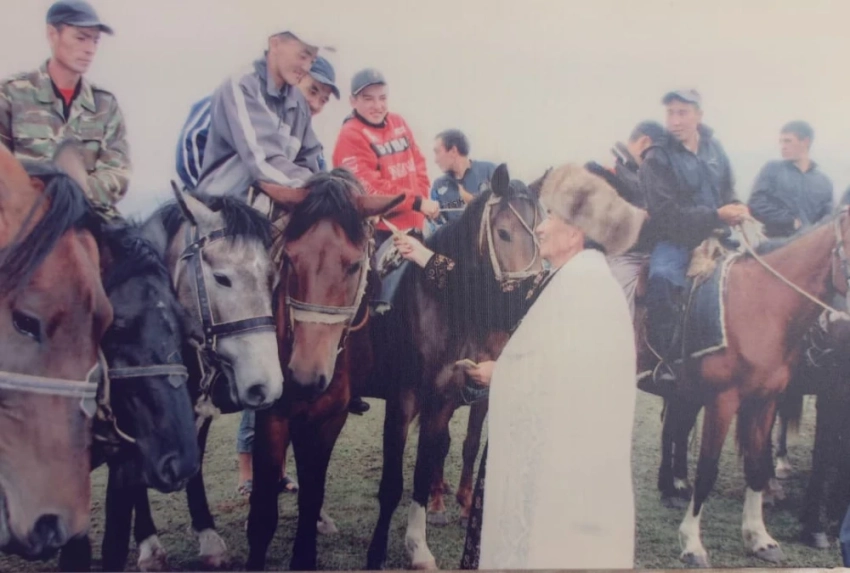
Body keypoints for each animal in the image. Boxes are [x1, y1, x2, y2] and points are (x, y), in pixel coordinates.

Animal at [101, 188, 285, 570]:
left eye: (272, 279)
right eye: (222, 278)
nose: (267, 386)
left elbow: (195, 463)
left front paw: (208, 537)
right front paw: (149, 544)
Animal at [242, 169, 405, 571]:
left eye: (353, 265)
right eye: (289, 260)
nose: (304, 375)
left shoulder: (328, 418)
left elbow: (312, 494)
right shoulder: (275, 415)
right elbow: (263, 514)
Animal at [639, 207, 850, 567]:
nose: (836, 324)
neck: (762, 306)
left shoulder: (764, 400)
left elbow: (756, 467)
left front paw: (759, 539)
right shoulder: (723, 400)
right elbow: (707, 470)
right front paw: (692, 544)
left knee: (675, 427)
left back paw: (672, 486)